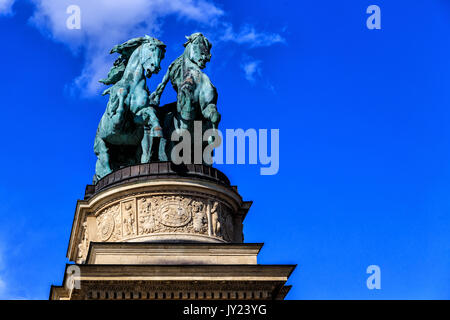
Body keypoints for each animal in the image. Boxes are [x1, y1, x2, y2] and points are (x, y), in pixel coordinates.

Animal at [94, 35, 166, 182]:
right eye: (151, 48)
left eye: (162, 55)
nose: (155, 68)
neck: (133, 83)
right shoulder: (114, 119)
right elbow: (120, 105)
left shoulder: (138, 116)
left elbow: (150, 112)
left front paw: (157, 129)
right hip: (101, 146)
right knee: (105, 163)